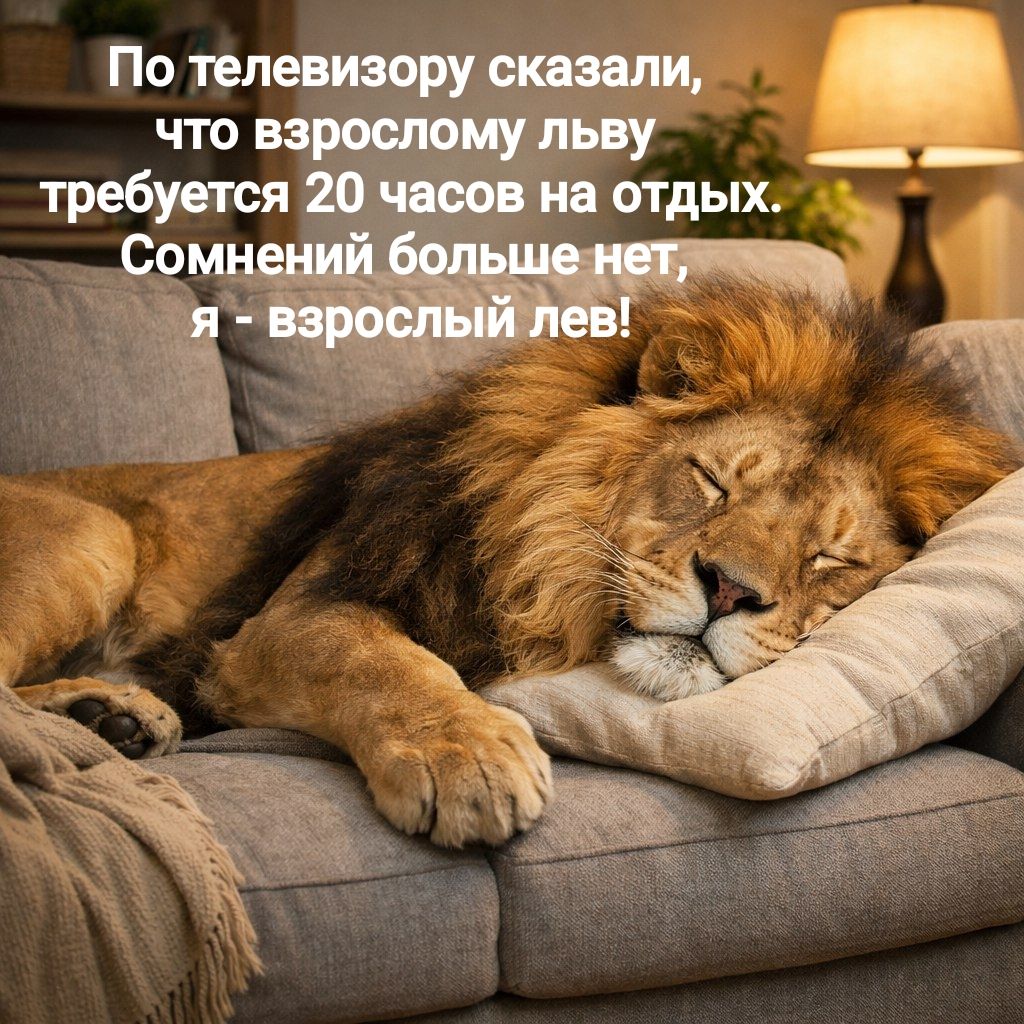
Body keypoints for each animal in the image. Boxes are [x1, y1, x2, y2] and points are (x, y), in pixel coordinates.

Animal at [1, 279, 1015, 847]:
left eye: (831, 556)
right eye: (712, 481)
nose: (730, 589)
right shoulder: (286, 621)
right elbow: (386, 662)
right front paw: (470, 760)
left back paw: (111, 717)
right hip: (94, 534)